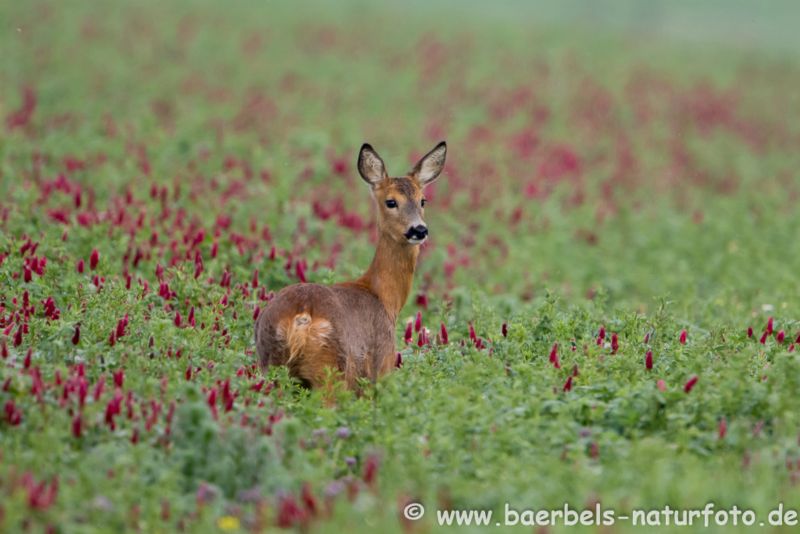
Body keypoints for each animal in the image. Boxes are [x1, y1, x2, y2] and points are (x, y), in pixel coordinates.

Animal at [255, 141, 447, 390]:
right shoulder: (383, 364)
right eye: (391, 201)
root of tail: (302, 317)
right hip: (332, 370)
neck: (383, 297)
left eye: (423, 200)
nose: (419, 230)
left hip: (270, 363)